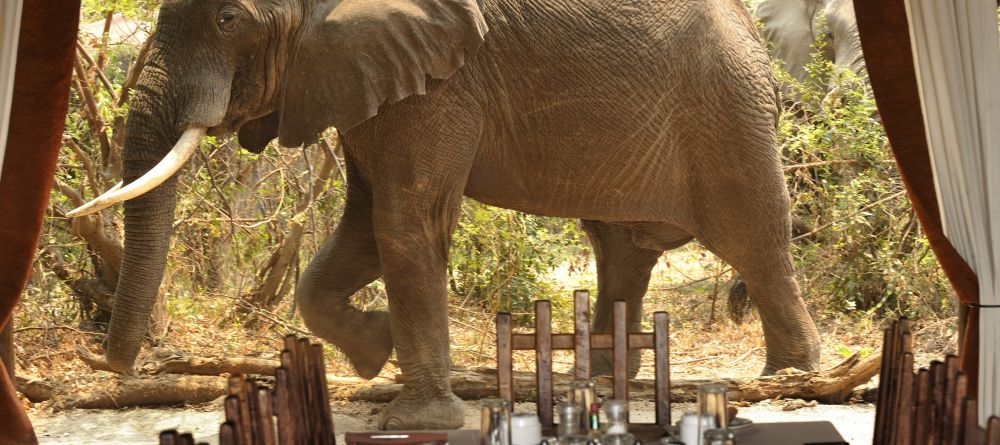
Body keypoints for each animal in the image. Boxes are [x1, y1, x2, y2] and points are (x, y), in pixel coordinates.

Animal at [68, 0, 820, 428]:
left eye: (228, 19)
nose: (104, 363)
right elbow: (364, 225)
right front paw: (373, 350)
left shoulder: (441, 77)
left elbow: (404, 219)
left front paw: (421, 413)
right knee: (621, 247)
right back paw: (602, 381)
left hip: (727, 107)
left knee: (754, 239)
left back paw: (790, 379)